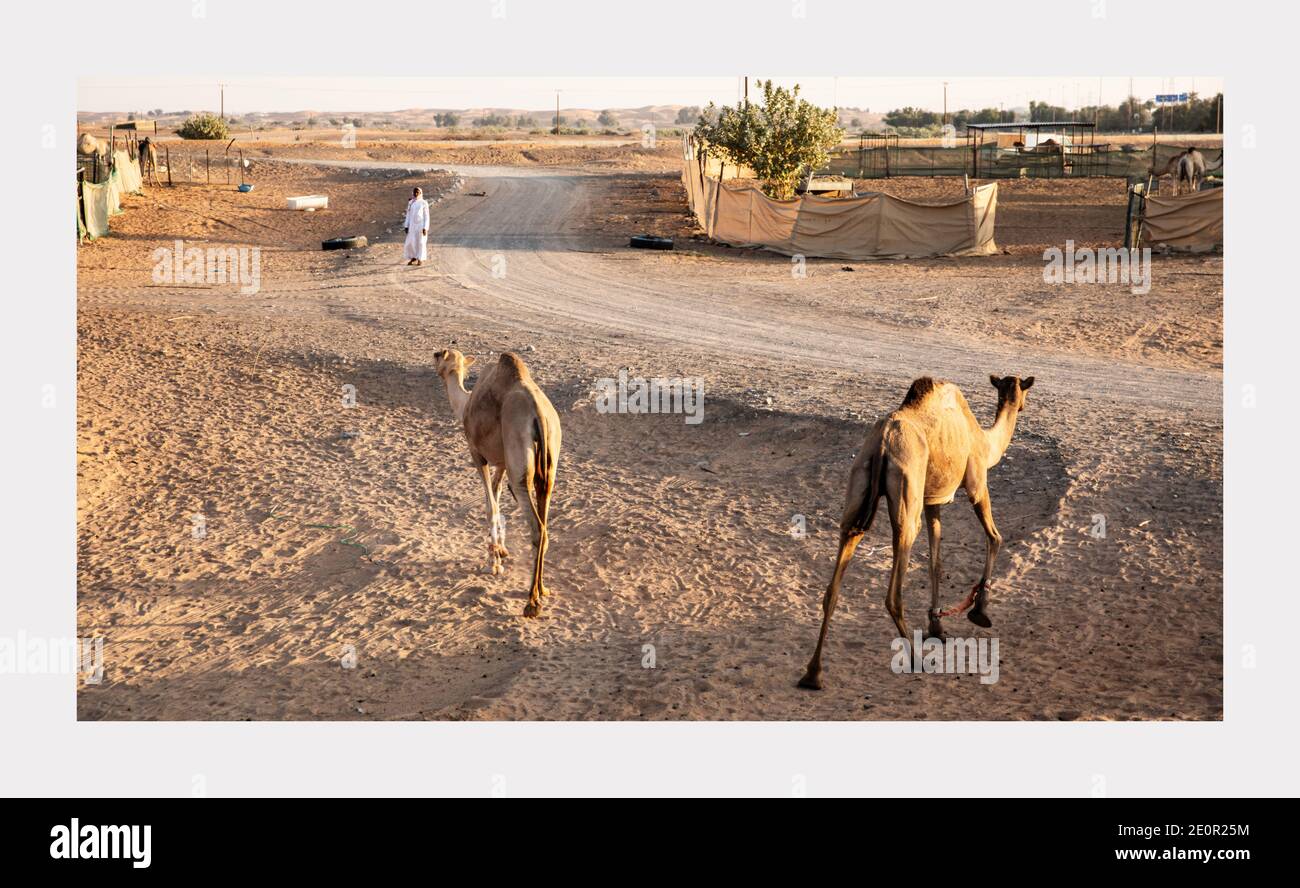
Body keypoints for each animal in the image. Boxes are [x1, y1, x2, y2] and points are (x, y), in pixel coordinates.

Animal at [434, 348, 561, 618]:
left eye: (440, 355)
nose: (434, 353)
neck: (465, 404)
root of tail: (539, 415)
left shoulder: (477, 454)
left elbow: (489, 505)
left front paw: (493, 563)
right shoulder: (502, 462)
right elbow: (496, 494)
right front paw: (499, 550)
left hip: (520, 466)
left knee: (537, 528)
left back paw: (531, 602)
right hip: (549, 468)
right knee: (545, 523)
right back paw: (543, 590)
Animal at [790, 371, 1034, 691]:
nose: (1023, 406)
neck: (984, 441)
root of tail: (883, 442)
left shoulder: (933, 501)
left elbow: (935, 562)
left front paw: (937, 625)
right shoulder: (976, 483)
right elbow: (995, 538)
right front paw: (980, 609)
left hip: (859, 481)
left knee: (834, 582)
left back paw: (813, 674)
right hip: (907, 493)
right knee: (894, 590)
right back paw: (917, 659)